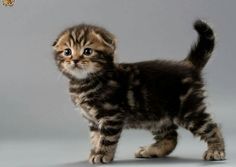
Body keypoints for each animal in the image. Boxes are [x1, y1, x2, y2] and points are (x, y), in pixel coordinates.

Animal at [51, 20, 225, 164]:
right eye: (67, 52)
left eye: (87, 51)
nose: (74, 60)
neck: (85, 83)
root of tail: (188, 65)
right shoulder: (93, 121)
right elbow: (95, 138)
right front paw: (94, 151)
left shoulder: (111, 115)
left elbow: (106, 138)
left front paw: (102, 154)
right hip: (156, 116)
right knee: (171, 136)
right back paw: (151, 151)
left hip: (188, 109)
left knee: (211, 126)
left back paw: (216, 150)